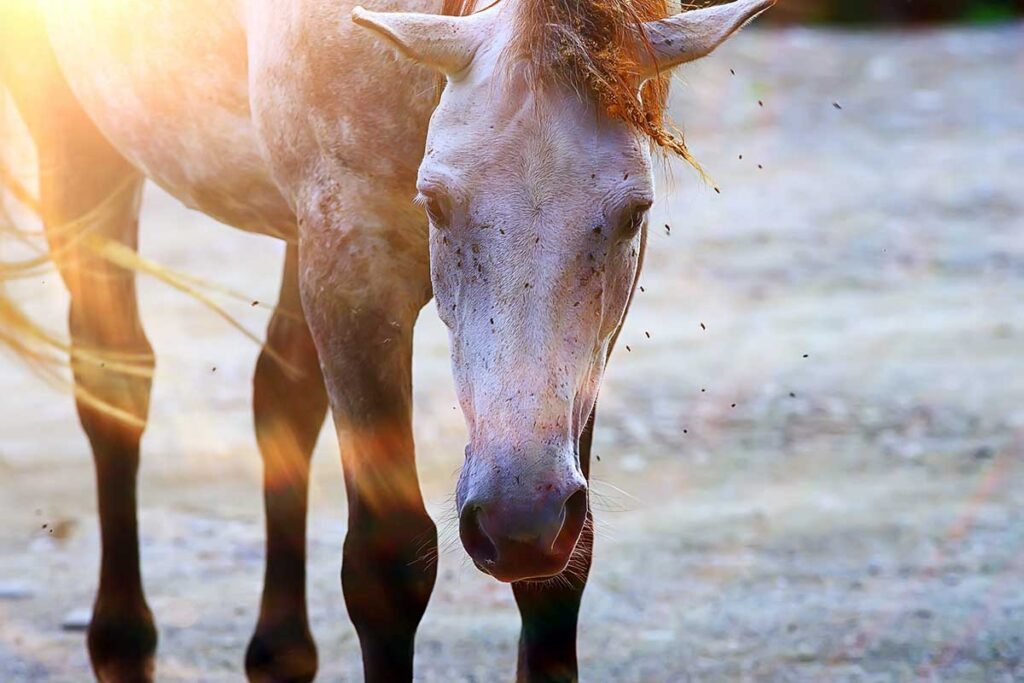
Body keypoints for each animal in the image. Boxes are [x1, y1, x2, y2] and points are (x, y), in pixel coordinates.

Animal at [0, 0, 772, 680]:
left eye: (635, 212)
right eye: (436, 203)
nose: (518, 517)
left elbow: (560, 575)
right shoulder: (353, 267)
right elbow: (387, 562)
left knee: (280, 396)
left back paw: (280, 657)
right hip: (79, 147)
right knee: (114, 384)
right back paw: (123, 647)